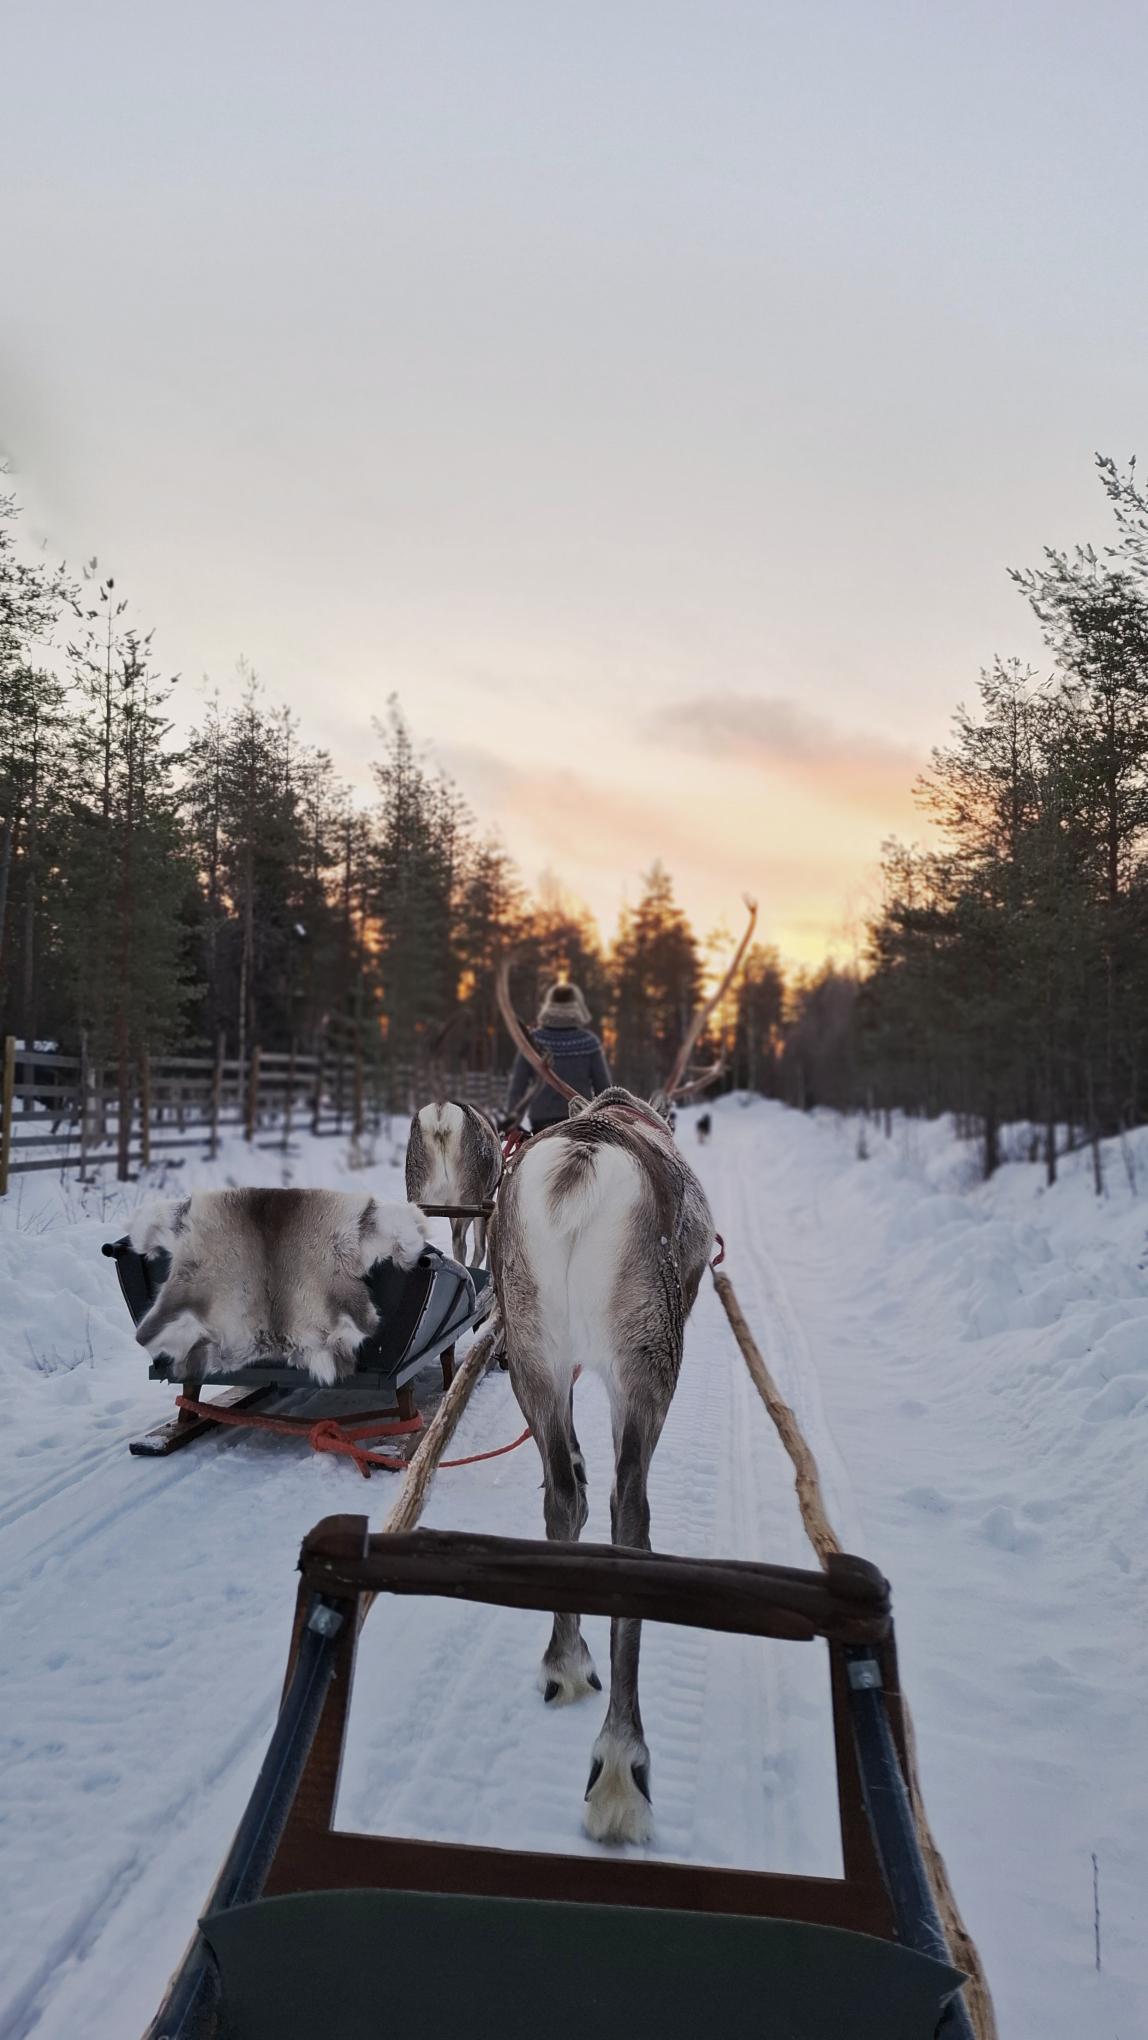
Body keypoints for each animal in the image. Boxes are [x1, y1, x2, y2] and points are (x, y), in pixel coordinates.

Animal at [488, 901, 755, 1845]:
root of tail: (580, 1163)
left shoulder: (559, 1366)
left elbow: (561, 1482)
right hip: (645, 1362)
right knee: (628, 1517)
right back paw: (620, 1769)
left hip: (531, 1347)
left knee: (564, 1492)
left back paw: (564, 1664)